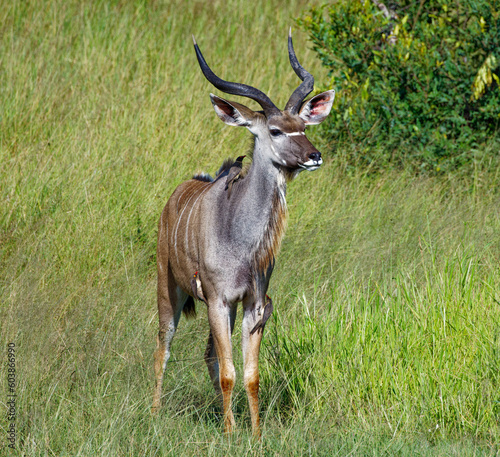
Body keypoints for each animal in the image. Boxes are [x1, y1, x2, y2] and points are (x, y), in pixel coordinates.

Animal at [150, 28, 334, 434]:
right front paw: (232, 432)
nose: (314, 156)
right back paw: (153, 412)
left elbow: (249, 374)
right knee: (162, 349)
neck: (242, 240)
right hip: (169, 291)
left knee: (208, 355)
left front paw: (255, 432)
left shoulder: (253, 303)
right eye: (277, 130)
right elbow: (229, 373)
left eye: (304, 127)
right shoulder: (218, 300)